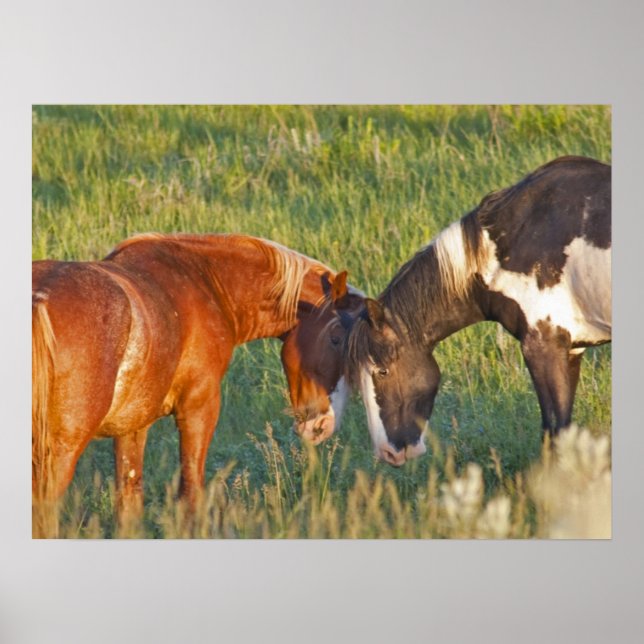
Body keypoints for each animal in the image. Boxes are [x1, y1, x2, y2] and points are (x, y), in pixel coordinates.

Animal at [32, 233, 364, 532]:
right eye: (336, 338)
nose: (322, 426)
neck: (206, 282)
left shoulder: (132, 427)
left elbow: (129, 505)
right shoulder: (198, 409)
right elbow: (190, 495)